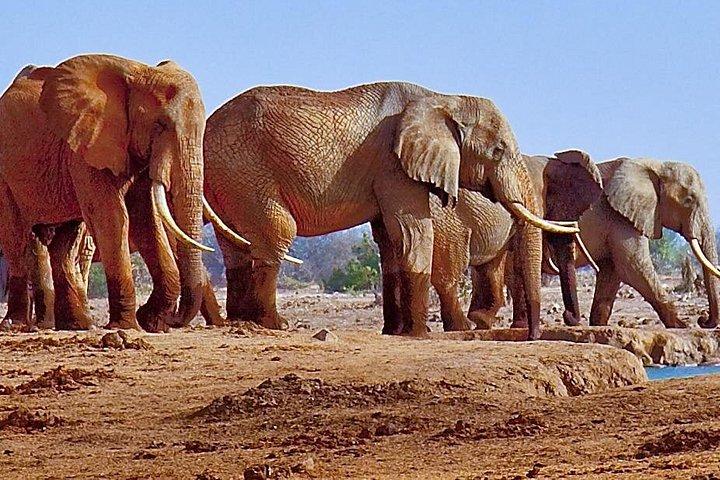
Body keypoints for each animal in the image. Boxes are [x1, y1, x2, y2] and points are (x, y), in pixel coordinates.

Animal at [0, 54, 245, 332]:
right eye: (160, 125)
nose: (173, 321)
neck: (139, 74)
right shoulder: (87, 146)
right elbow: (113, 217)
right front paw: (128, 325)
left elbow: (146, 219)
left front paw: (150, 321)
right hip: (6, 175)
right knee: (17, 238)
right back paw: (16, 324)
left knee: (65, 241)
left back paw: (76, 324)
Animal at [203, 82, 578, 339]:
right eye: (498, 151)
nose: (532, 336)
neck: (442, 98)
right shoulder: (394, 167)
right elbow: (413, 231)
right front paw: (422, 334)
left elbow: (390, 242)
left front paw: (396, 331)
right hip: (246, 171)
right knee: (277, 231)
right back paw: (275, 324)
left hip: (228, 178)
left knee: (234, 246)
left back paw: (241, 322)